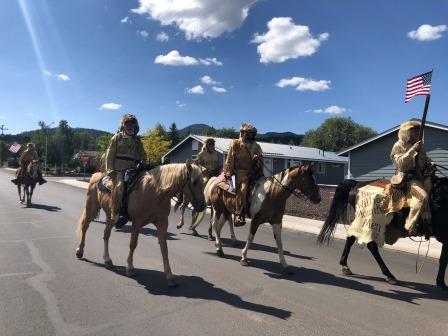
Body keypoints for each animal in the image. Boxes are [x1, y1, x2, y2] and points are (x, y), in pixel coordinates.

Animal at [75, 163, 206, 286]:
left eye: (204, 183)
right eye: (194, 182)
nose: (202, 206)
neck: (155, 192)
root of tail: (96, 175)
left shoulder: (162, 223)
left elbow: (164, 248)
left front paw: (169, 276)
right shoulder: (137, 222)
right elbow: (133, 244)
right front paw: (130, 268)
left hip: (110, 215)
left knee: (106, 235)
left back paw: (107, 260)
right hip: (92, 208)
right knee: (85, 226)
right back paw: (80, 251)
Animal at [316, 176, 448, 292]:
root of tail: (358, 184)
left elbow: (443, 260)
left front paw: (441, 283)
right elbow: (444, 261)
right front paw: (442, 284)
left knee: (351, 238)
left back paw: (345, 265)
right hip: (369, 222)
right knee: (371, 245)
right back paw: (389, 275)